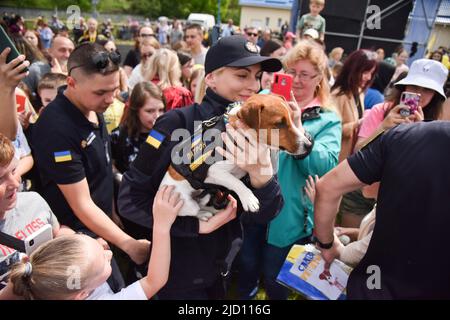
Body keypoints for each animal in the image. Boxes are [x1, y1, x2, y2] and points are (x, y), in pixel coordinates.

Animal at [159, 93, 312, 220]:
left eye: (293, 119)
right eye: (279, 124)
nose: (309, 145)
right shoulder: (214, 171)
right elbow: (236, 182)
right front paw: (249, 198)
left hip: (205, 195)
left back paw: (212, 210)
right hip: (185, 203)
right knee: (194, 211)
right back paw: (203, 214)